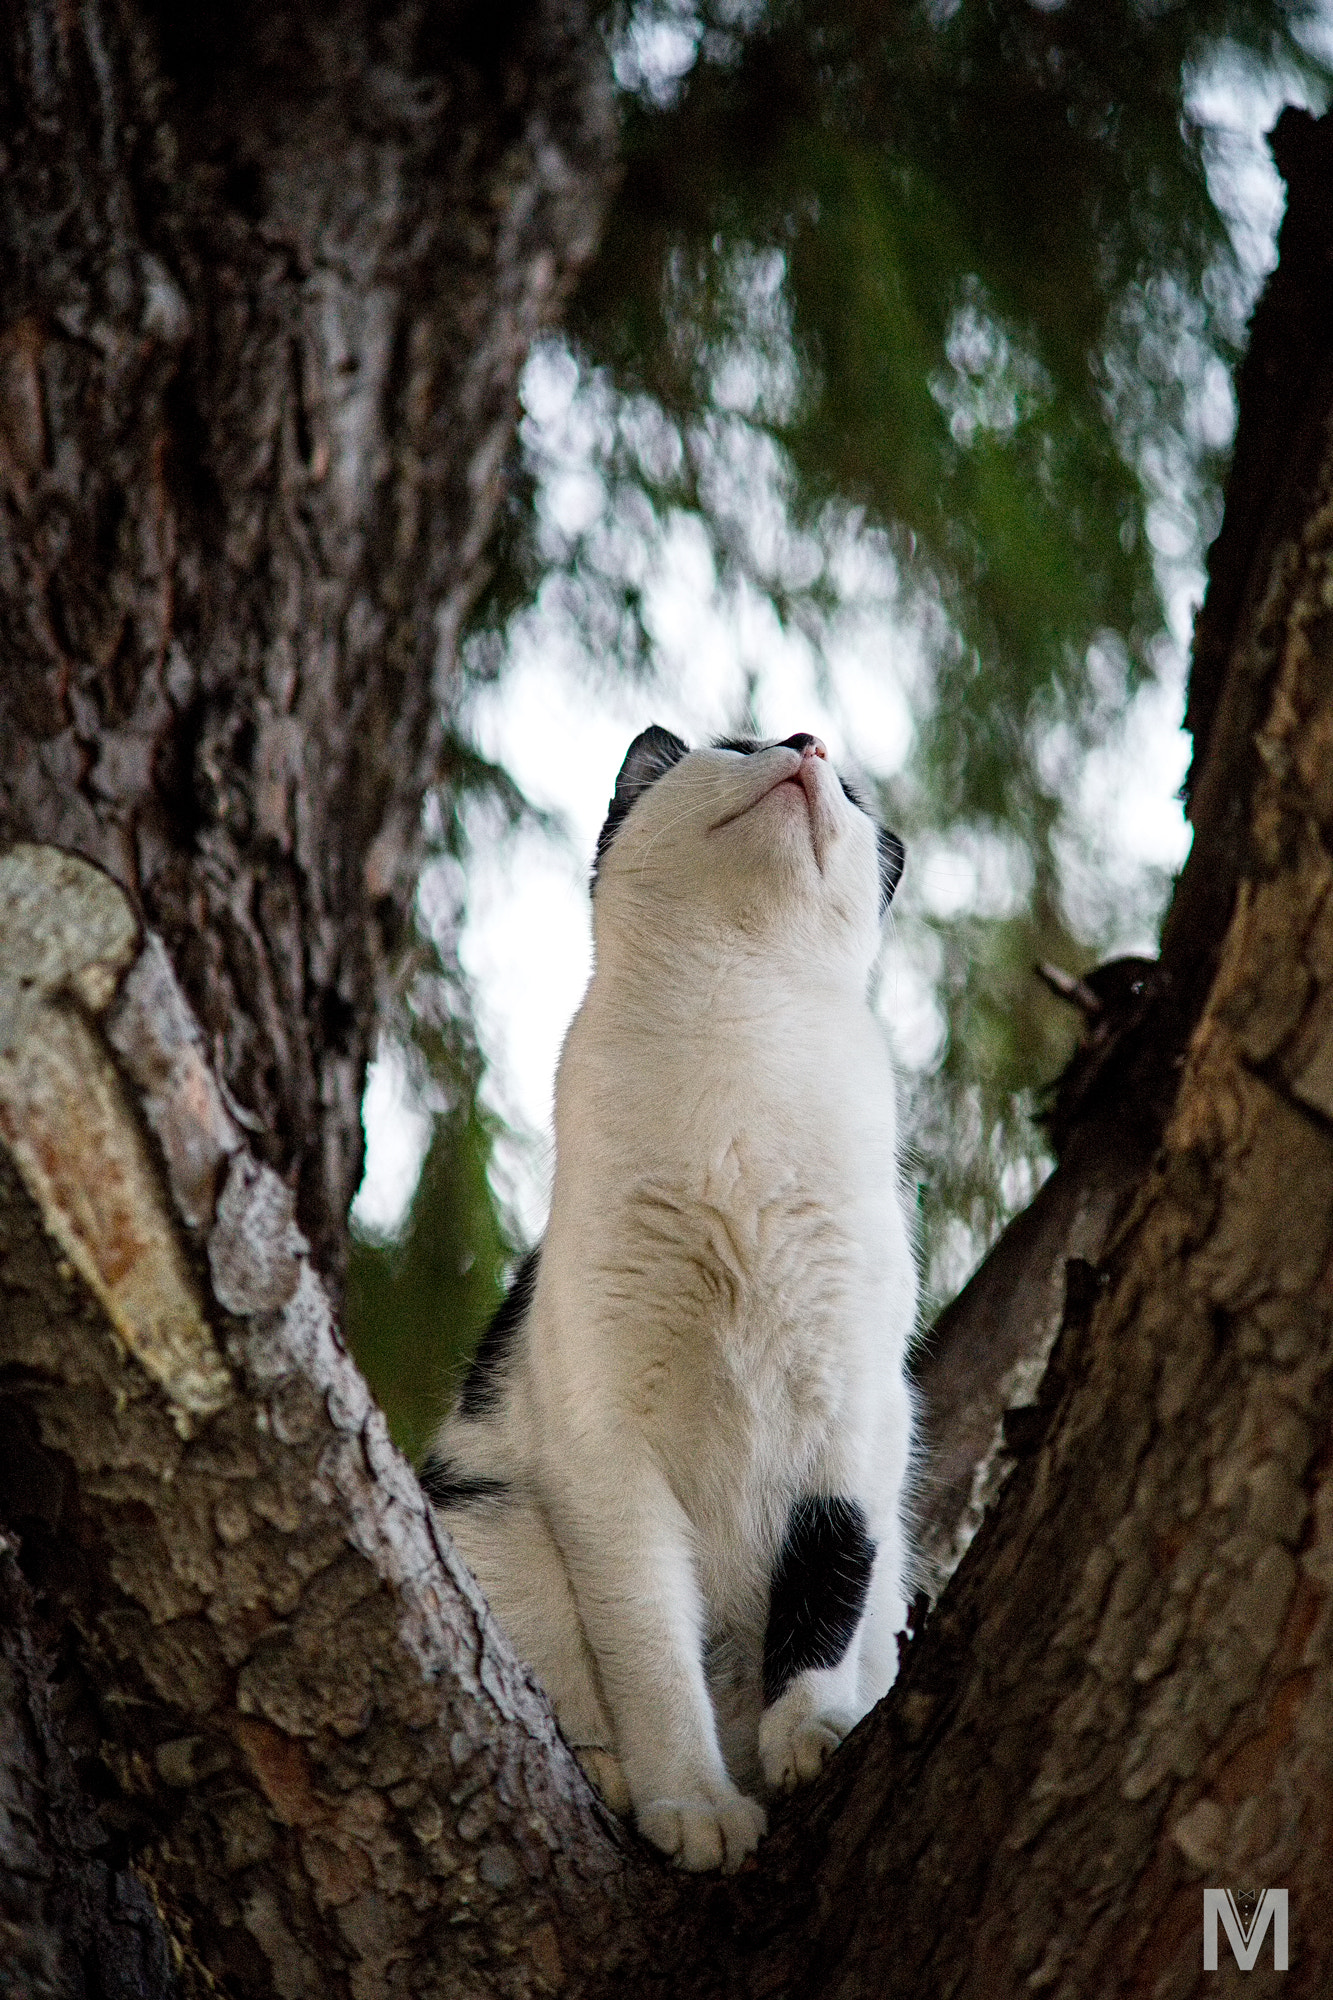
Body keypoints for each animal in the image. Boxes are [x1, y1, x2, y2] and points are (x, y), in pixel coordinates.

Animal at [422, 732, 912, 1872]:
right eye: (737, 744)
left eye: (850, 791)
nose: (806, 741)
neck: (742, 1034)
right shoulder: (603, 1454)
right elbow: (650, 1648)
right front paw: (691, 1802)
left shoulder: (861, 1419)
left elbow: (830, 1584)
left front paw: (810, 1731)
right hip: (493, 1518)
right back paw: (605, 1767)